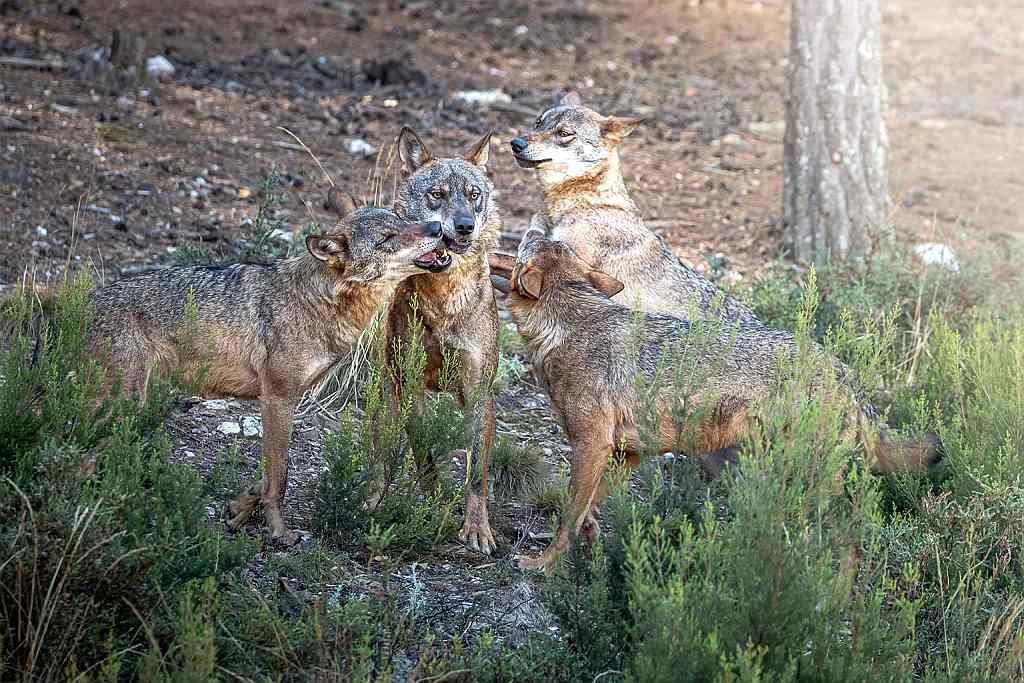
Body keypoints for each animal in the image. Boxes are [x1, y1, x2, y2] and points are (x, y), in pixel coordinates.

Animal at [90, 196, 450, 544]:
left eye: (402, 219)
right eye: (387, 239)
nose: (437, 227)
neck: (317, 303)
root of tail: (84, 301)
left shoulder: (280, 402)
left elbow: (265, 475)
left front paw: (239, 509)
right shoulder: (278, 398)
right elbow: (280, 477)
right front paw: (278, 532)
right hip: (125, 404)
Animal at [385, 126, 501, 557]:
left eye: (473, 194)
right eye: (437, 193)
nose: (465, 225)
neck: (445, 301)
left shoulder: (479, 393)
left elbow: (476, 473)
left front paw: (478, 530)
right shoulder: (412, 386)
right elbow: (424, 451)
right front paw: (434, 502)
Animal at [487, 232, 942, 569]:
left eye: (527, 243)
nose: (534, 226)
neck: (569, 326)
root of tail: (844, 371)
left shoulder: (591, 445)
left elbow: (567, 514)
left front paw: (543, 564)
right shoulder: (623, 453)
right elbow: (586, 512)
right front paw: (591, 542)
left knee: (848, 543)